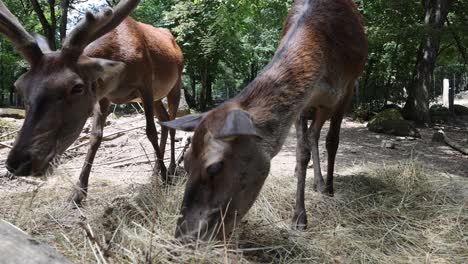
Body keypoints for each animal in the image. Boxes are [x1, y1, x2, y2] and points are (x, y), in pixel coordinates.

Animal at [2, 0, 185, 206]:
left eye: (77, 87)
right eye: (19, 86)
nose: (18, 162)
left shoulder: (145, 84)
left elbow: (150, 131)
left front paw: (165, 179)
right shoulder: (103, 96)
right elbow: (96, 136)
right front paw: (77, 193)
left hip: (175, 83)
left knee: (171, 123)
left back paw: (170, 169)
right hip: (157, 97)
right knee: (164, 119)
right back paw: (155, 170)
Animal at [163, 0, 368, 240]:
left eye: (215, 167)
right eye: (185, 162)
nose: (184, 235)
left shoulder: (348, 89)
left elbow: (333, 141)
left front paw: (329, 190)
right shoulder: (304, 102)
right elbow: (301, 151)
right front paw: (299, 217)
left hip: (329, 104)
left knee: (319, 135)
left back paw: (322, 184)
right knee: (312, 135)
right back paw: (311, 178)